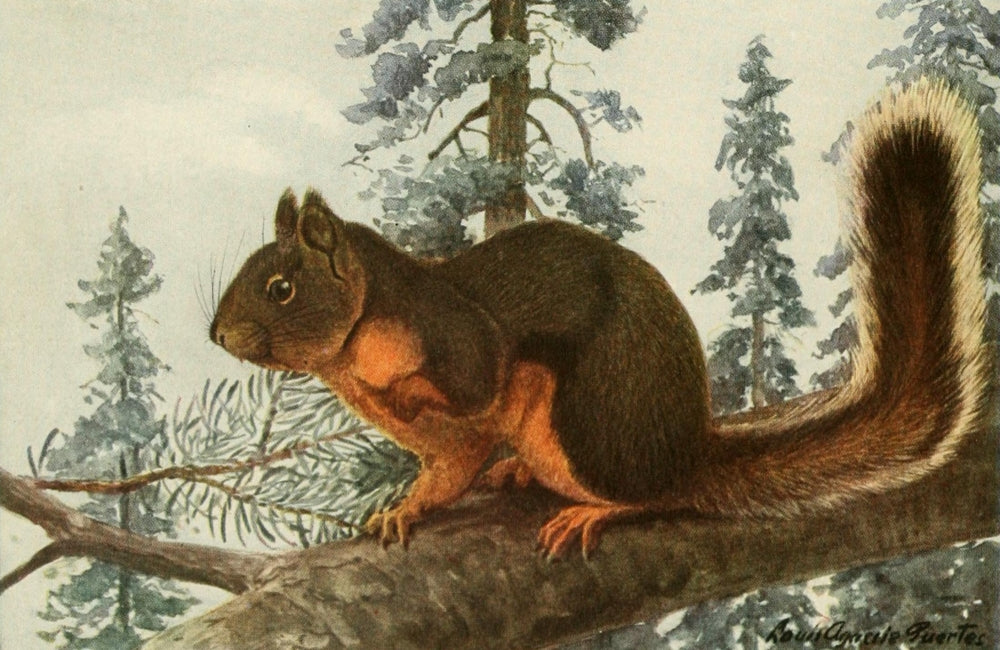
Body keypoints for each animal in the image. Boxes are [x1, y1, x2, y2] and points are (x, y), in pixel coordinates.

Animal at [210, 78, 990, 559]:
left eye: (280, 288)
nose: (217, 334)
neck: (354, 349)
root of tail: (685, 449)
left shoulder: (450, 336)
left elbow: (474, 384)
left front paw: (407, 421)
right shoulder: (446, 446)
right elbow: (444, 473)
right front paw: (405, 504)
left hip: (586, 423)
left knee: (651, 499)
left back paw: (598, 509)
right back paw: (519, 474)